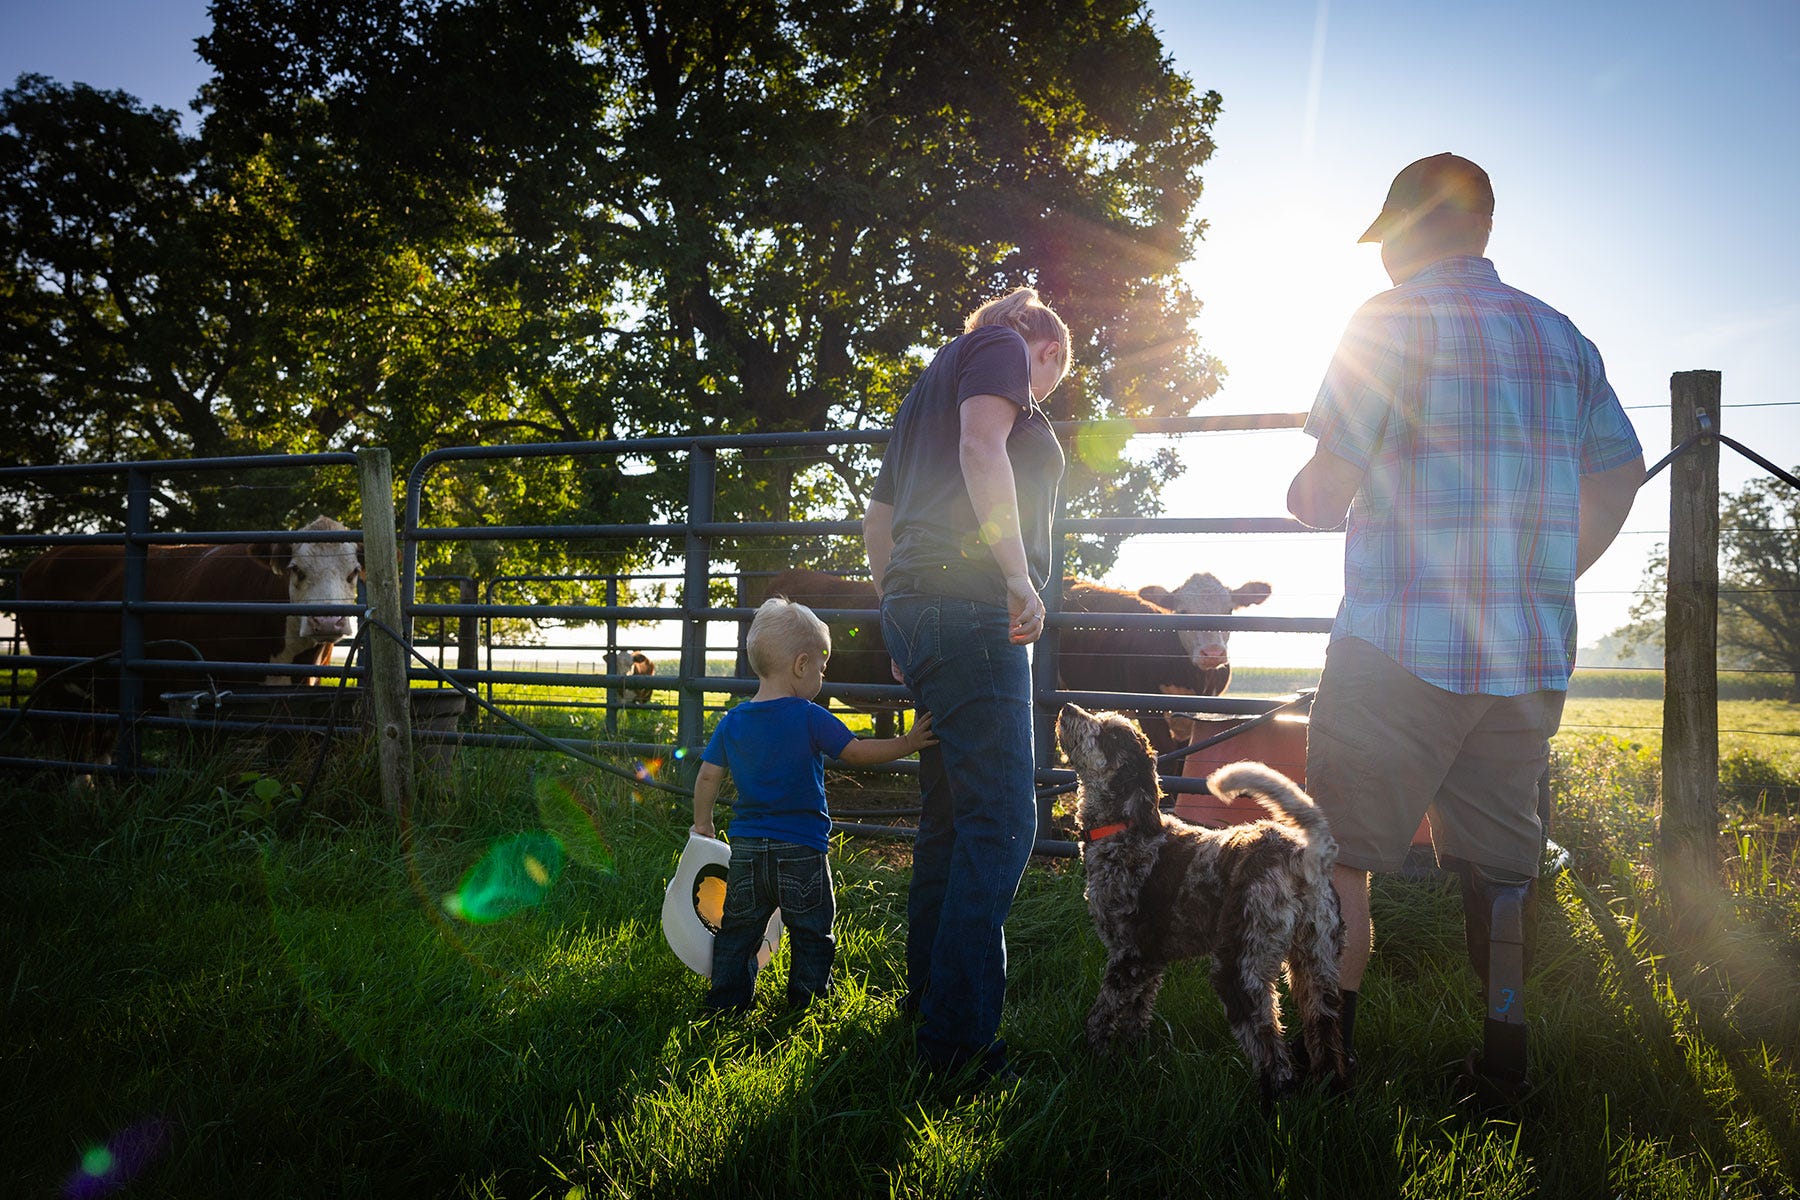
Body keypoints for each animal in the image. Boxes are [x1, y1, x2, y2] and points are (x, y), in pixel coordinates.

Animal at [1058, 705, 1346, 1108]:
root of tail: (1300, 853)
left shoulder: (1129, 957)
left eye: (1110, 735)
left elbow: (1102, 1016)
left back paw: (1269, 1107)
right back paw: (1330, 1095)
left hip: (1239, 967)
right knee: (1326, 1035)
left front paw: (1094, 1061)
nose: (1068, 708)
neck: (1125, 829)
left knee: (1272, 1052)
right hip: (1317, 964)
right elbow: (1135, 1015)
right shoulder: (1150, 962)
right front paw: (1132, 1056)